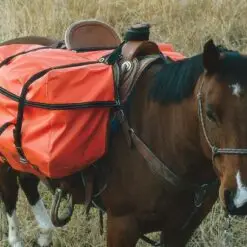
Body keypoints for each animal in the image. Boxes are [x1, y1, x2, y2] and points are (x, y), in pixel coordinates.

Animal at [1, 34, 247, 247]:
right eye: (210, 112)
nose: (239, 198)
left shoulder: (181, 229)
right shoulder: (122, 225)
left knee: (28, 181)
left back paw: (45, 233)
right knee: (10, 193)